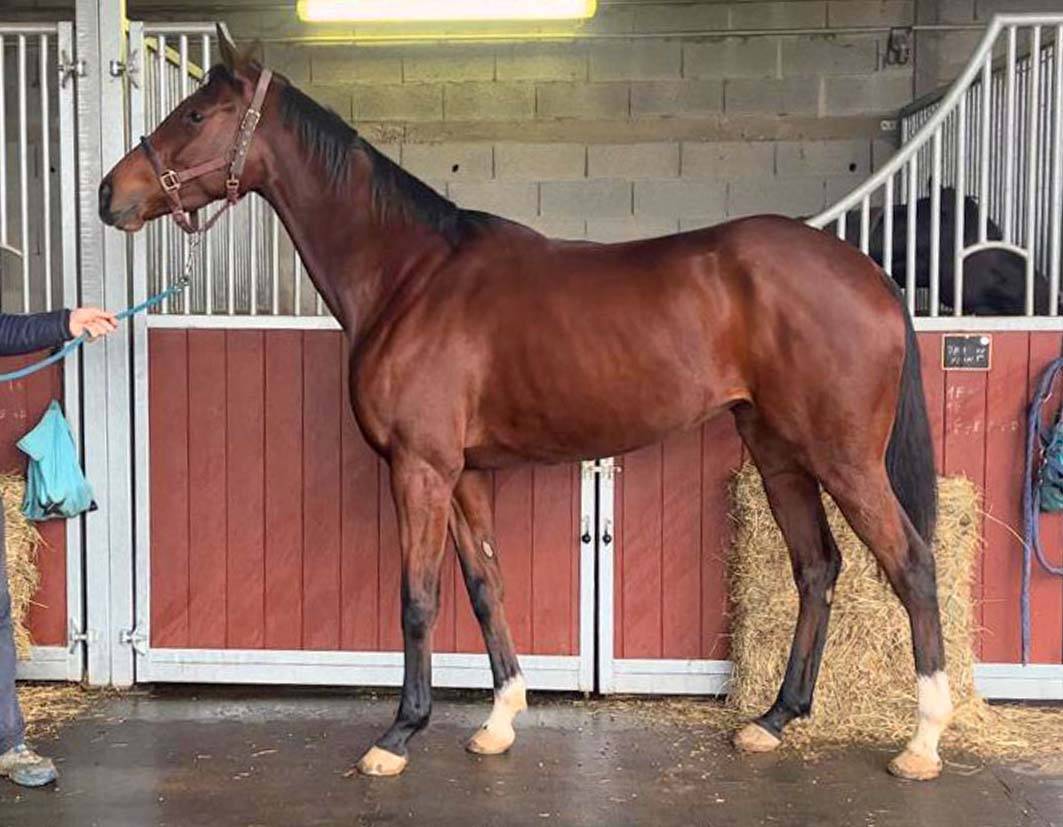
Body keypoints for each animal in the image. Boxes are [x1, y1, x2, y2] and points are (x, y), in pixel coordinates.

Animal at [98, 27, 952, 783]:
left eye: (194, 114)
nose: (111, 194)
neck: (410, 276)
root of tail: (869, 274)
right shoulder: (465, 474)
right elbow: (485, 586)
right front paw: (499, 719)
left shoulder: (419, 469)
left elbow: (418, 598)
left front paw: (398, 734)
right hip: (777, 454)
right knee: (816, 565)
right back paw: (773, 719)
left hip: (843, 457)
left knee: (909, 563)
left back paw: (921, 740)